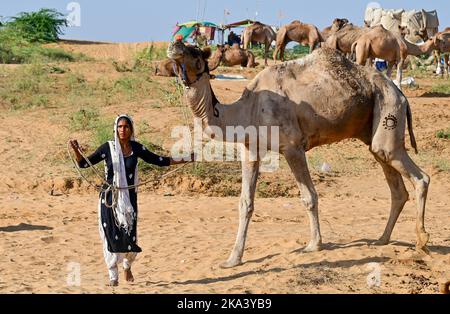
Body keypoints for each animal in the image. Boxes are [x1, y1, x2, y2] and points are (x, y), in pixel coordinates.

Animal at [167, 40, 430, 268]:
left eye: (195, 52)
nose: (174, 45)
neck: (247, 110)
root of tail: (401, 93)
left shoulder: (292, 146)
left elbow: (309, 196)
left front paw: (314, 245)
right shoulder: (250, 149)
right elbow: (245, 203)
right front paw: (232, 259)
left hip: (389, 111)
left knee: (420, 178)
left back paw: (422, 241)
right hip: (374, 133)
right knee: (395, 184)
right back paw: (382, 239)